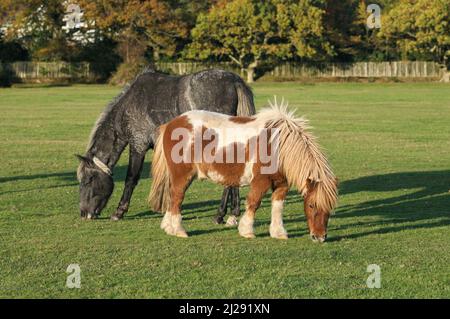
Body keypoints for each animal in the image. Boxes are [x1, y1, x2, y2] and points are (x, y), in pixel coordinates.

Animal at [75, 68, 255, 222]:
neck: (129, 105)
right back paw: (232, 213)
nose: (84, 213)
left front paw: (119, 211)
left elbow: (131, 179)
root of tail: (234, 80)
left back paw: (220, 215)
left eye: (88, 180)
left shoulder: (138, 146)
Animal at [149, 99, 340, 242]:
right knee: (176, 198)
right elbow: (254, 203)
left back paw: (168, 227)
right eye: (311, 205)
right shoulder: (260, 181)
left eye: (330, 207)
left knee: (171, 197)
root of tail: (172, 123)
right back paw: (178, 230)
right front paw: (247, 230)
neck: (277, 145)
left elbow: (278, 207)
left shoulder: (281, 184)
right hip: (183, 176)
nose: (320, 237)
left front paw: (278, 233)